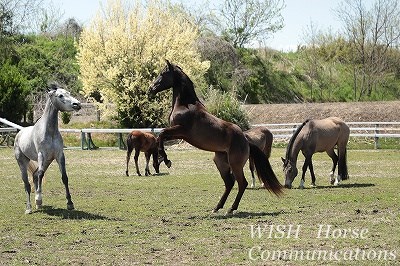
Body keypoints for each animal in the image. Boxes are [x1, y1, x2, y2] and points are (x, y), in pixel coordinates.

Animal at [14, 83, 81, 214]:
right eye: (60, 95)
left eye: (69, 93)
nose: (77, 104)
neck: (50, 132)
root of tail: (19, 133)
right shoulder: (42, 155)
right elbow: (40, 175)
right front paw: (39, 199)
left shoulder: (59, 155)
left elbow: (64, 177)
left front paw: (70, 203)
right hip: (23, 162)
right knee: (27, 183)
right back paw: (29, 207)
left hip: (47, 161)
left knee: (35, 176)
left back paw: (37, 204)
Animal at [147, 60, 282, 214]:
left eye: (163, 74)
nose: (150, 89)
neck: (185, 105)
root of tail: (246, 141)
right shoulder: (179, 134)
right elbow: (160, 137)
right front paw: (162, 159)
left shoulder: (181, 130)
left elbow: (162, 134)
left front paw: (166, 160)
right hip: (220, 162)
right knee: (230, 183)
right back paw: (217, 207)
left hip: (235, 164)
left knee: (242, 183)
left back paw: (231, 208)